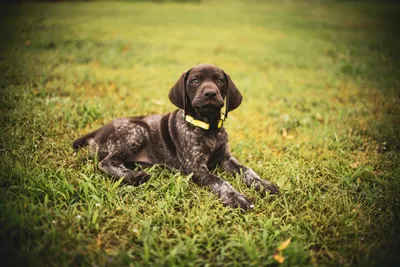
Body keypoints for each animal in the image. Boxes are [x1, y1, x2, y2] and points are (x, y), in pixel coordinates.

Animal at [72, 63, 278, 210]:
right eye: (194, 81)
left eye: (220, 80)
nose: (210, 93)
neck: (209, 127)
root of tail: (98, 130)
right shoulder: (196, 167)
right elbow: (220, 182)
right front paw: (237, 198)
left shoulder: (226, 158)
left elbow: (248, 170)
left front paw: (264, 184)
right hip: (137, 130)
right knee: (106, 162)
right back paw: (135, 176)